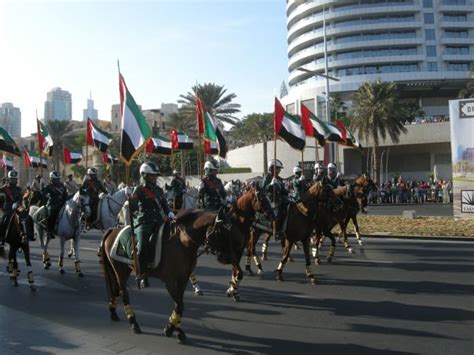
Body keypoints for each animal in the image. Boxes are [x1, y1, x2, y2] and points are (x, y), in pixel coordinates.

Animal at [100, 209, 241, 342]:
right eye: (221, 232)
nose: (230, 258)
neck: (182, 242)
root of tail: (113, 230)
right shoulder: (169, 281)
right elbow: (179, 305)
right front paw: (171, 329)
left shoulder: (182, 279)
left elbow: (179, 305)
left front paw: (176, 329)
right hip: (120, 272)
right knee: (124, 294)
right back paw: (134, 323)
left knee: (115, 290)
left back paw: (114, 313)